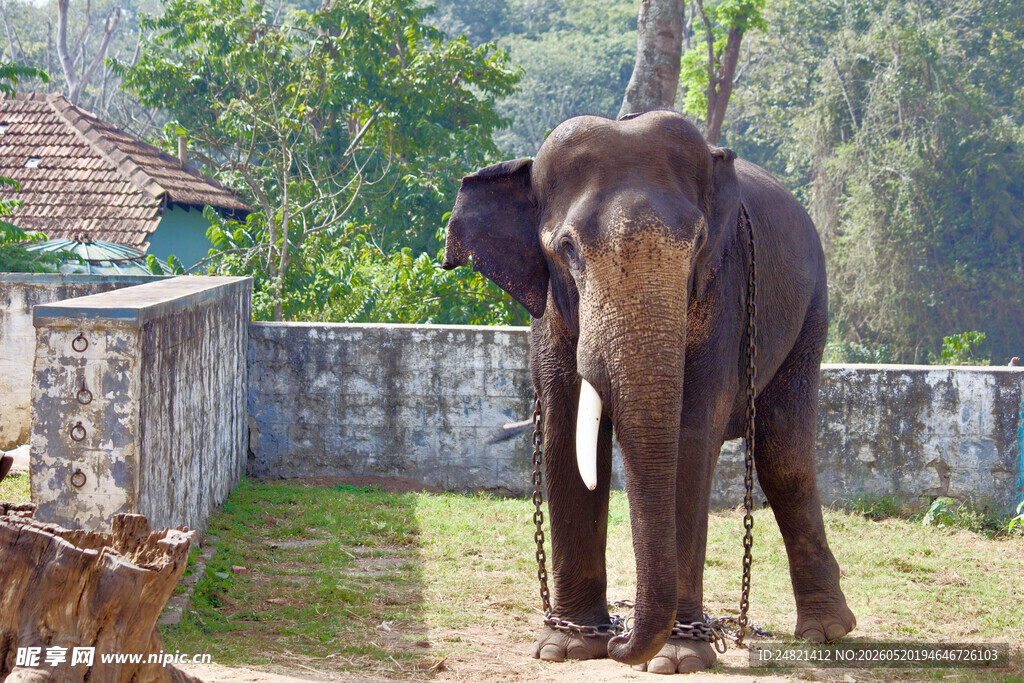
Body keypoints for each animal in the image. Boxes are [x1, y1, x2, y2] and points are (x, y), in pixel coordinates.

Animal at [442, 110, 856, 673]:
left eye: (697, 243)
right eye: (567, 249)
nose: (621, 636)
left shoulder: (724, 291)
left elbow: (689, 437)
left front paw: (676, 658)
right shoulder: (550, 312)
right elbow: (564, 433)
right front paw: (567, 648)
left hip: (813, 311)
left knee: (784, 456)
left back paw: (824, 632)